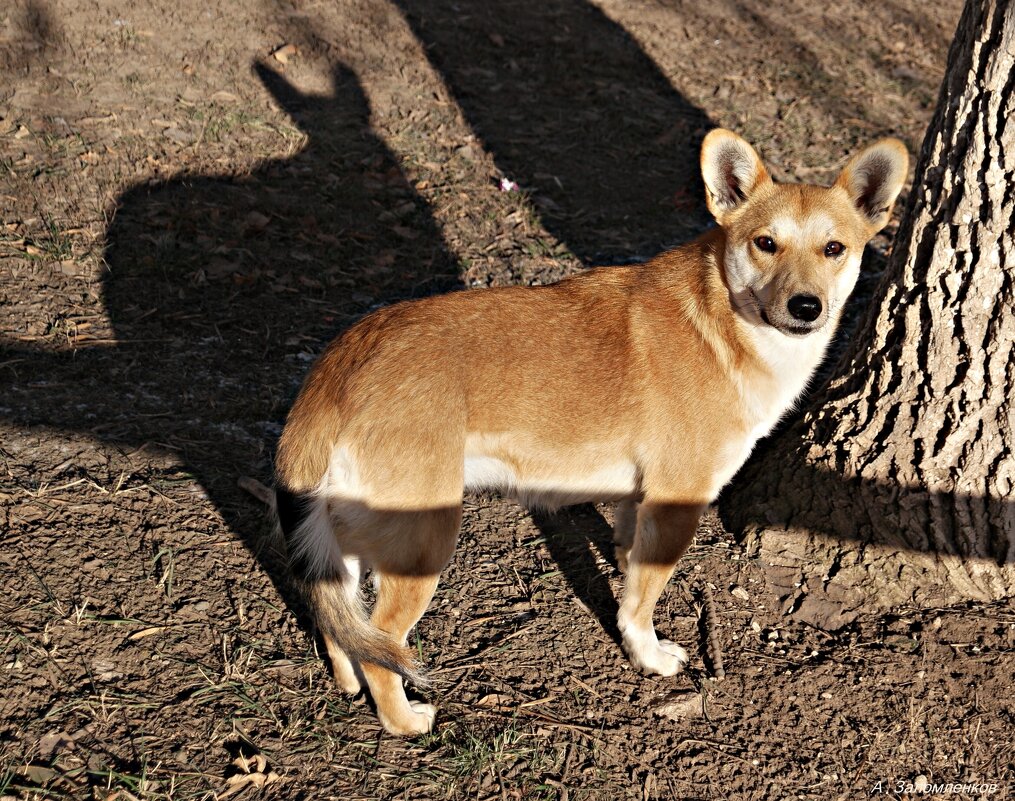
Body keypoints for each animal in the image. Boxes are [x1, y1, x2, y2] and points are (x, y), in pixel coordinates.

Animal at [274, 127, 909, 735]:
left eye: (834, 248)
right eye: (766, 243)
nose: (806, 307)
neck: (723, 321)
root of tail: (337, 367)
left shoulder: (640, 498)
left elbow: (629, 563)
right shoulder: (678, 502)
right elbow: (641, 603)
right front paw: (648, 657)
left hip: (346, 540)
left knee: (340, 622)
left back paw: (347, 680)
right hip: (423, 542)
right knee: (383, 642)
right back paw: (404, 721)